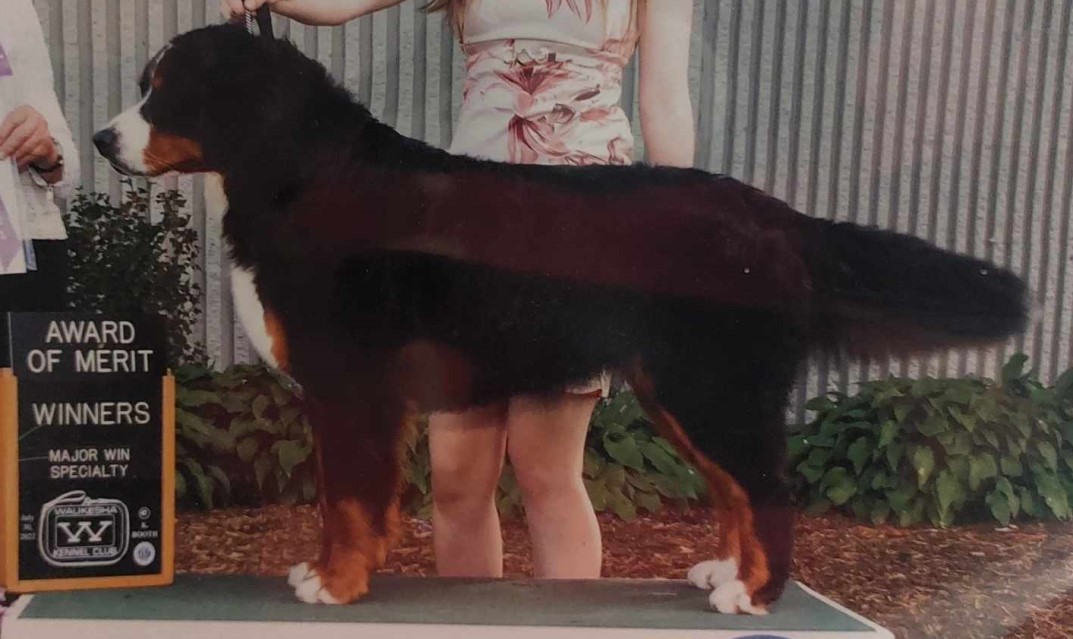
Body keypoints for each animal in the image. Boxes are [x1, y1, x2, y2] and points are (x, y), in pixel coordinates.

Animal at [93, 24, 1028, 615]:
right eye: (141, 87)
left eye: (166, 94)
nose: (102, 140)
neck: (297, 172)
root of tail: (776, 216)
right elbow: (350, 496)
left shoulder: (348, 384)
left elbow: (348, 498)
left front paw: (335, 581)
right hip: (677, 389)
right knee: (735, 486)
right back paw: (723, 570)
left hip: (711, 384)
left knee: (765, 486)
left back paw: (752, 592)